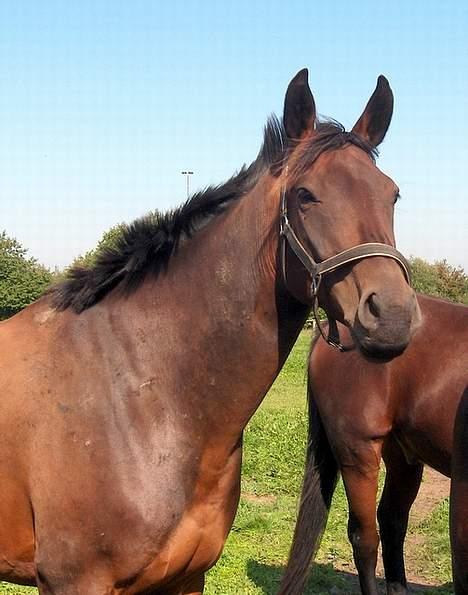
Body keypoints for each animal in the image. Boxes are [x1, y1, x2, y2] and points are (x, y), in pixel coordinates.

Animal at [0, 71, 416, 595]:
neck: (142, 396)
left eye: (392, 194)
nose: (393, 315)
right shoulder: (74, 582)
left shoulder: (188, 577)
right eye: (304, 195)